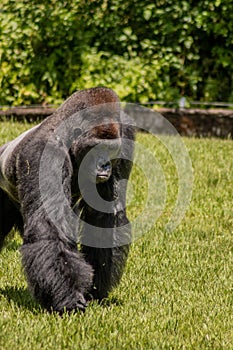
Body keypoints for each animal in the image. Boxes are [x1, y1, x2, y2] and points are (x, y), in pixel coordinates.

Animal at [0, 87, 135, 312]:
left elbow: (104, 218)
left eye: (110, 150)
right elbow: (49, 225)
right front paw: (68, 297)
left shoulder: (126, 137)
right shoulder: (45, 152)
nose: (105, 165)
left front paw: (94, 291)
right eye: (95, 148)